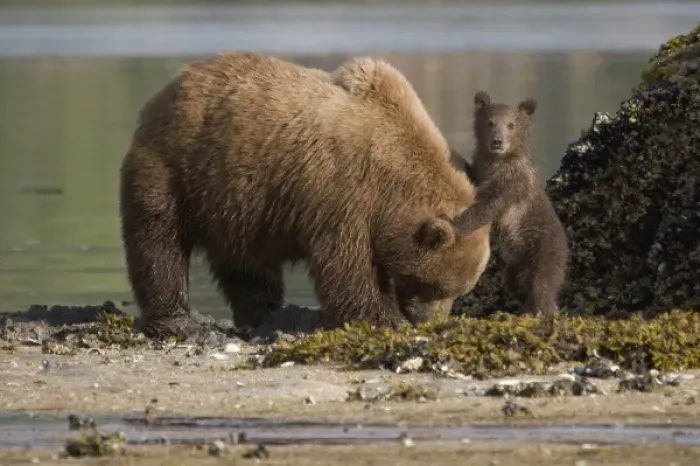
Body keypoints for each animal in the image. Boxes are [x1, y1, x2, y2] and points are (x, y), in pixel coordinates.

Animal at [118, 51, 492, 340]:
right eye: (436, 287)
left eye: (458, 290)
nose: (428, 321)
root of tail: (173, 83)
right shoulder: (343, 192)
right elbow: (346, 267)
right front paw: (385, 318)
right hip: (176, 165)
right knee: (158, 240)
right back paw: (177, 320)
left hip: (237, 201)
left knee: (246, 264)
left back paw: (263, 313)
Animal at [454, 91, 568, 317]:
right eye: (490, 122)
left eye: (511, 124)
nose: (497, 142)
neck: (498, 161)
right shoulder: (482, 169)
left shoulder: (513, 183)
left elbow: (489, 205)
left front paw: (457, 222)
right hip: (516, 264)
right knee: (516, 284)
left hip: (544, 249)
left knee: (542, 283)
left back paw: (540, 310)